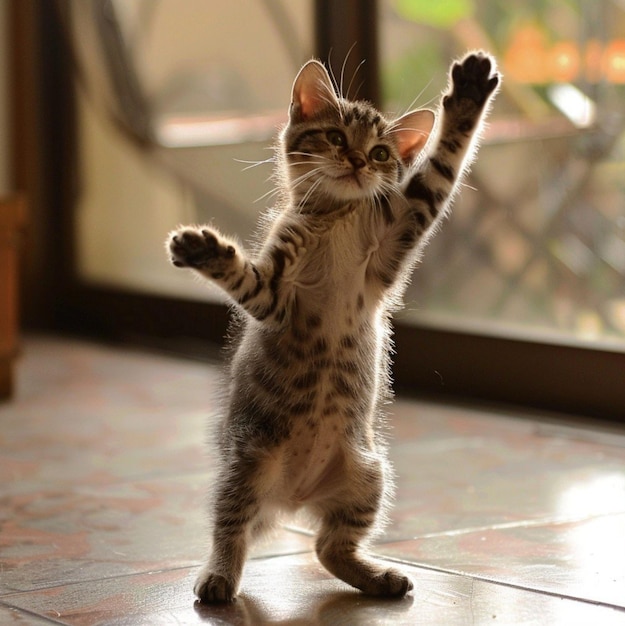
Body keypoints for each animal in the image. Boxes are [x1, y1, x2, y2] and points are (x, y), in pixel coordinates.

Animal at [168, 50, 500, 600]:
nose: (359, 161)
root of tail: (291, 499)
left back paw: (377, 577)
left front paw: (468, 95)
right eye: (336, 137)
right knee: (230, 527)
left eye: (382, 152)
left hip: (367, 474)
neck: (338, 216)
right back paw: (218, 576)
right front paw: (203, 251)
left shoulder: (396, 239)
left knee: (329, 547)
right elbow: (244, 276)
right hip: (247, 462)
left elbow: (441, 169)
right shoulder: (274, 295)